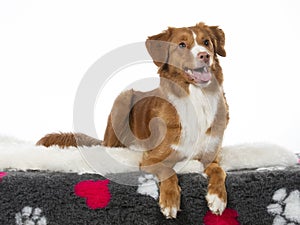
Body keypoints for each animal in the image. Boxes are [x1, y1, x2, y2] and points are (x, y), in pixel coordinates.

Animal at [37, 22, 230, 218]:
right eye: (182, 45)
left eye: (206, 42)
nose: (204, 55)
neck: (197, 100)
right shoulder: (151, 159)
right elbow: (168, 170)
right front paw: (169, 201)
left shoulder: (210, 157)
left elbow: (219, 170)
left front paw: (217, 198)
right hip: (122, 99)